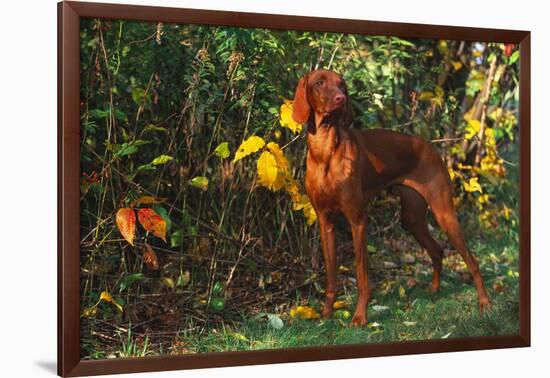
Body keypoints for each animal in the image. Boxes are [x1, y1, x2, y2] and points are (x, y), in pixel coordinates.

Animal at [294, 69, 492, 326]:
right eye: (319, 82)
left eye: (342, 85)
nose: (341, 99)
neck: (325, 149)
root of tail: (430, 146)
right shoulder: (325, 222)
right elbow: (330, 276)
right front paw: (326, 315)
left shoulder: (357, 221)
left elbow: (362, 276)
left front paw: (360, 317)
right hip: (412, 218)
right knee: (437, 250)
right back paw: (434, 290)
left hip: (444, 213)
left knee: (472, 261)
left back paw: (485, 303)